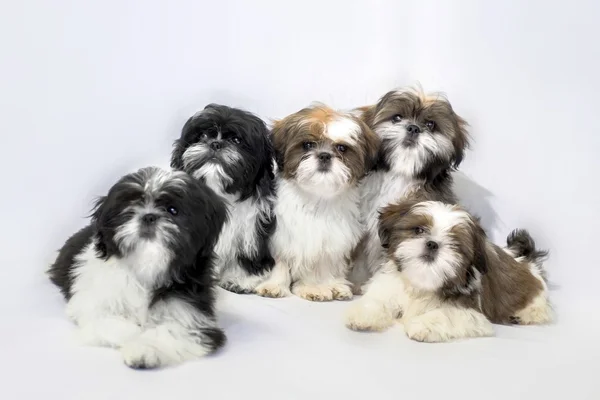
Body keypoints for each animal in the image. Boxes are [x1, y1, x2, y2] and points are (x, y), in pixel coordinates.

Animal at [47, 166, 227, 368]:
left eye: (173, 210)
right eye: (130, 207)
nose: (148, 216)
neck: (146, 264)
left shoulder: (194, 316)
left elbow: (173, 330)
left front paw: (143, 350)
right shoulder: (92, 302)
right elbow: (110, 321)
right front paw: (136, 334)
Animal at [170, 104, 278, 296]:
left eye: (236, 140)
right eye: (203, 136)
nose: (215, 144)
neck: (222, 193)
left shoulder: (253, 228)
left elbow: (248, 255)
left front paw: (241, 280)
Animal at [256, 103, 380, 300]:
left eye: (342, 148)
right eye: (308, 145)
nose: (324, 155)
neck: (316, 197)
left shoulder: (330, 240)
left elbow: (319, 263)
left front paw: (313, 287)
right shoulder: (280, 236)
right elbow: (279, 262)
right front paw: (273, 285)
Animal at [346, 198, 552, 342]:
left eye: (455, 244)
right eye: (418, 230)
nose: (432, 244)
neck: (421, 282)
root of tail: (525, 260)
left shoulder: (471, 313)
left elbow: (447, 314)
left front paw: (422, 325)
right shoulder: (391, 285)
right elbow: (377, 301)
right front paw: (362, 315)